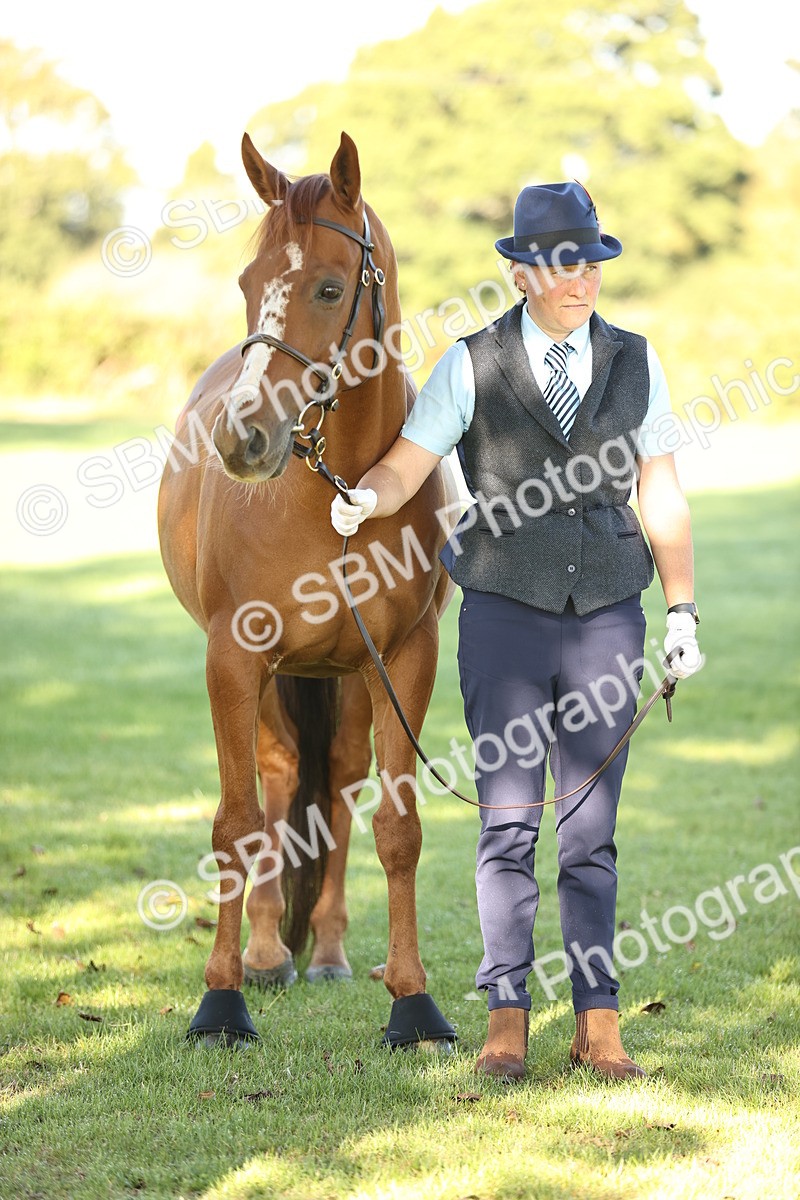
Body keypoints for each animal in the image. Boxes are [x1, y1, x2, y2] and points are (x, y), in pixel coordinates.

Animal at [157, 130, 462, 1049]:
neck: (333, 490)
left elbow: (397, 828)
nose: (243, 439)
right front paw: (222, 1001)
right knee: (281, 778)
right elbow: (236, 823)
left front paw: (413, 1003)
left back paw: (323, 951)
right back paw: (266, 955)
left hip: (347, 676)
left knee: (338, 784)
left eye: (330, 288)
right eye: (247, 285)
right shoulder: (232, 659)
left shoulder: (405, 660)